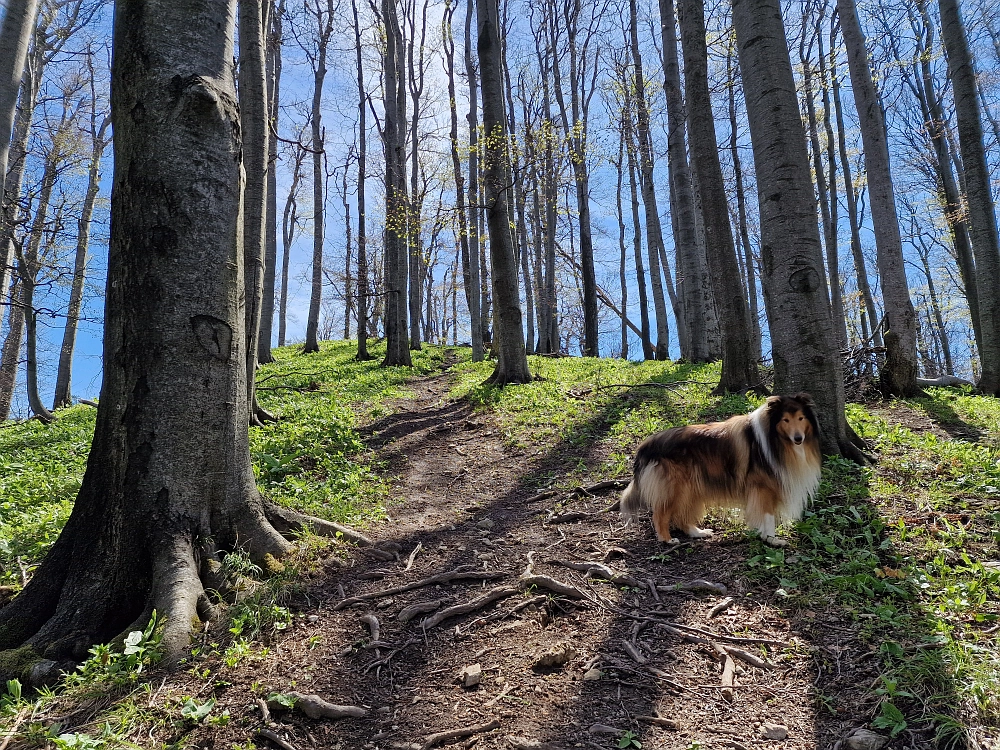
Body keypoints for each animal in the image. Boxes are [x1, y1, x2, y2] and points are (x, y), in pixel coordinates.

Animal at [620, 396, 824, 548]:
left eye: (801, 418)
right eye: (785, 420)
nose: (798, 439)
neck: (773, 439)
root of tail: (645, 445)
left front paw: (767, 538)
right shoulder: (762, 487)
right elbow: (767, 515)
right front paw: (771, 539)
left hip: (692, 486)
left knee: (682, 514)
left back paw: (698, 532)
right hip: (675, 487)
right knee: (660, 514)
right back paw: (667, 539)